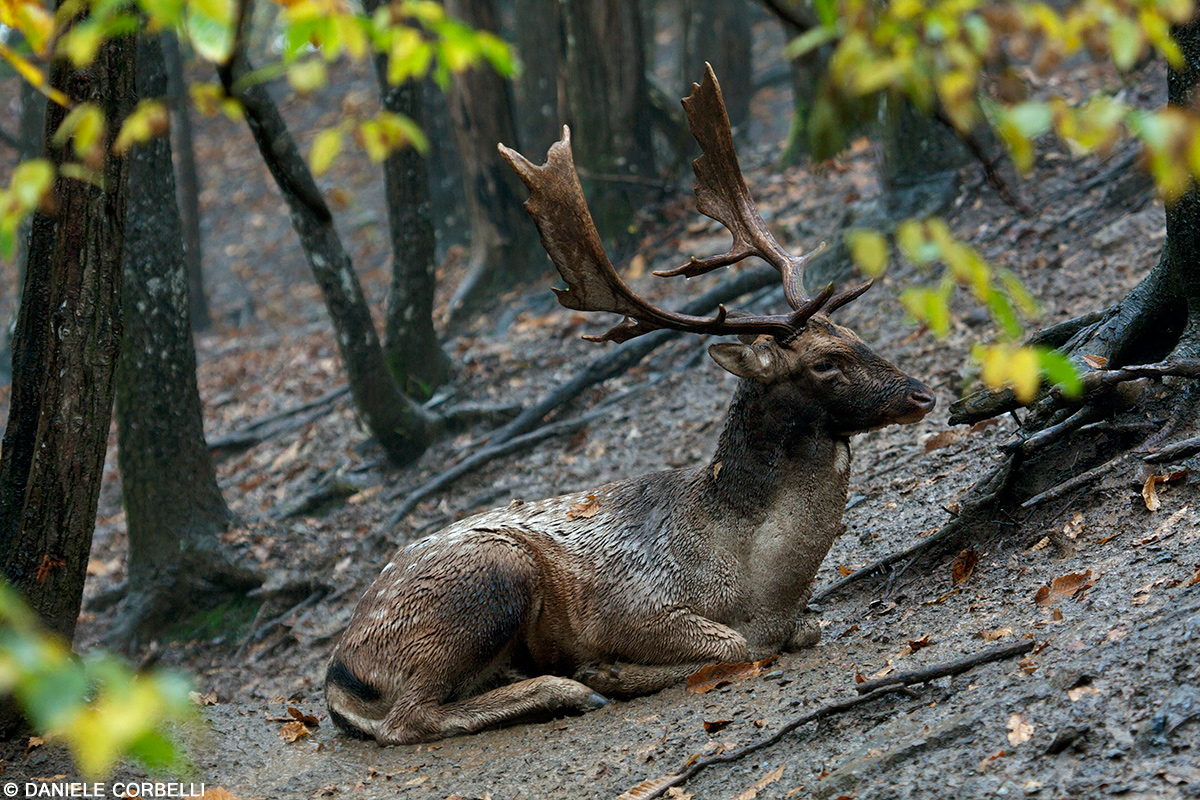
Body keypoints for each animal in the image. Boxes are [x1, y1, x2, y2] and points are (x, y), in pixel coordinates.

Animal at [328, 67, 936, 743]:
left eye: (856, 335)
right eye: (825, 362)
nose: (921, 392)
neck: (757, 583)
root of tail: (339, 675)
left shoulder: (790, 615)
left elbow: (806, 626)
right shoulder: (634, 606)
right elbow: (735, 646)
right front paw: (609, 672)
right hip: (488, 576)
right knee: (410, 717)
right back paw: (568, 688)